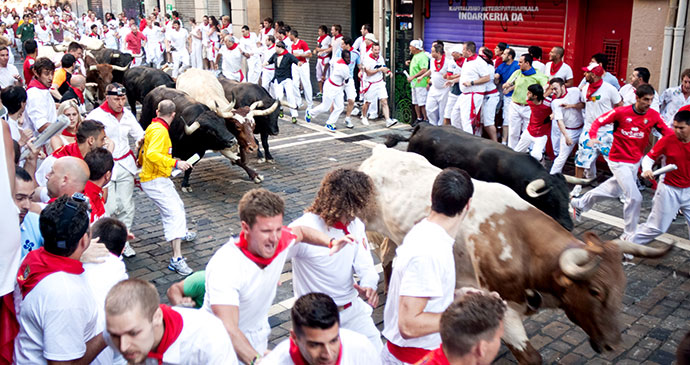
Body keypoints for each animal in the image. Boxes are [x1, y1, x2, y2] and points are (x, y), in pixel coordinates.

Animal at [360, 145, 672, 364]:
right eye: (594, 291)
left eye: (622, 287)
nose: (614, 345)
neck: (520, 241)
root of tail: (381, 152)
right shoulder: (506, 309)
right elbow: (531, 357)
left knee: (389, 258)